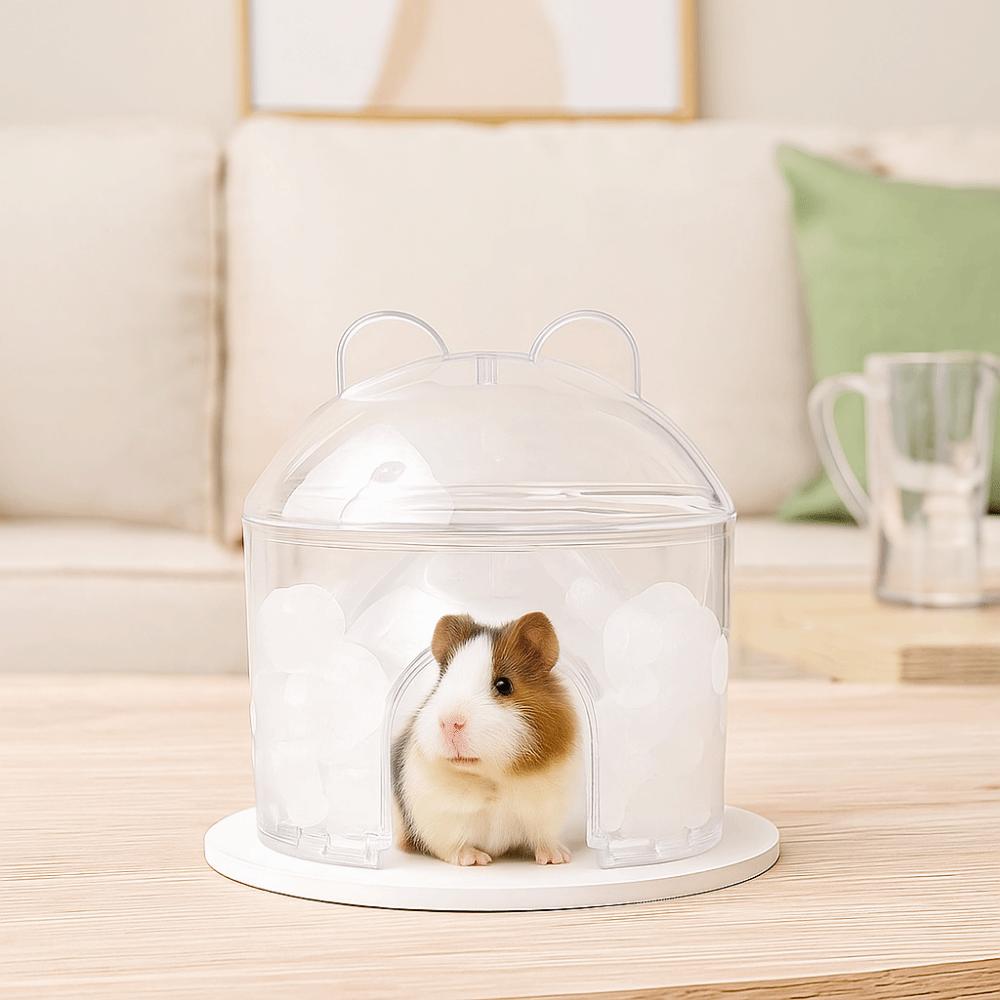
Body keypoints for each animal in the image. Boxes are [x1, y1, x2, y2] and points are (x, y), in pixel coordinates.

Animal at [392, 611, 579, 866]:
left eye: (504, 685)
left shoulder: (545, 811)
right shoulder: (441, 819)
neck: (492, 777)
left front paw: (557, 859)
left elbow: (544, 838)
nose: (450, 722)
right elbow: (455, 846)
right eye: (441, 682)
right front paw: (475, 860)